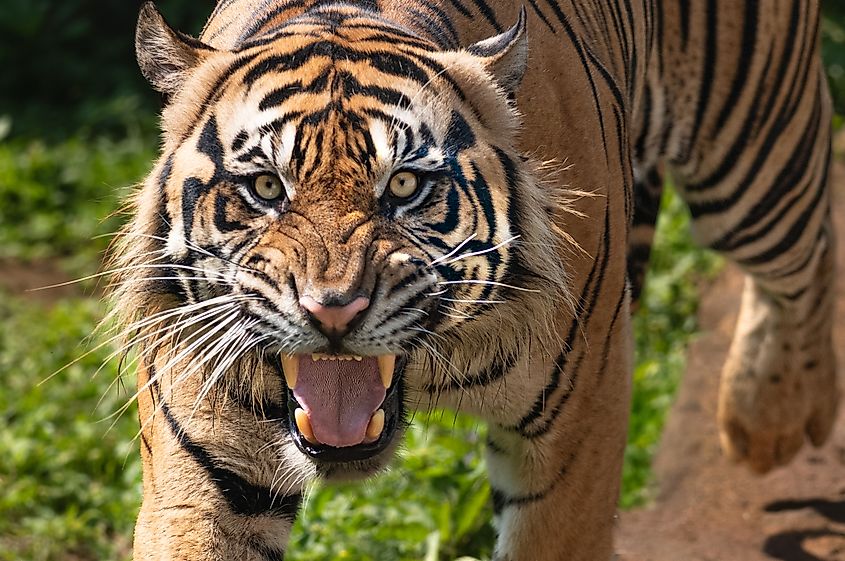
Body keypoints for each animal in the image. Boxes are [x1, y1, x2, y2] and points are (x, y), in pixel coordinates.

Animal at [115, 0, 838, 559]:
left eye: (403, 186)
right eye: (266, 187)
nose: (333, 310)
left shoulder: (582, 414)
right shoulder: (205, 458)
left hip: (750, 151)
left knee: (809, 250)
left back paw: (770, 424)